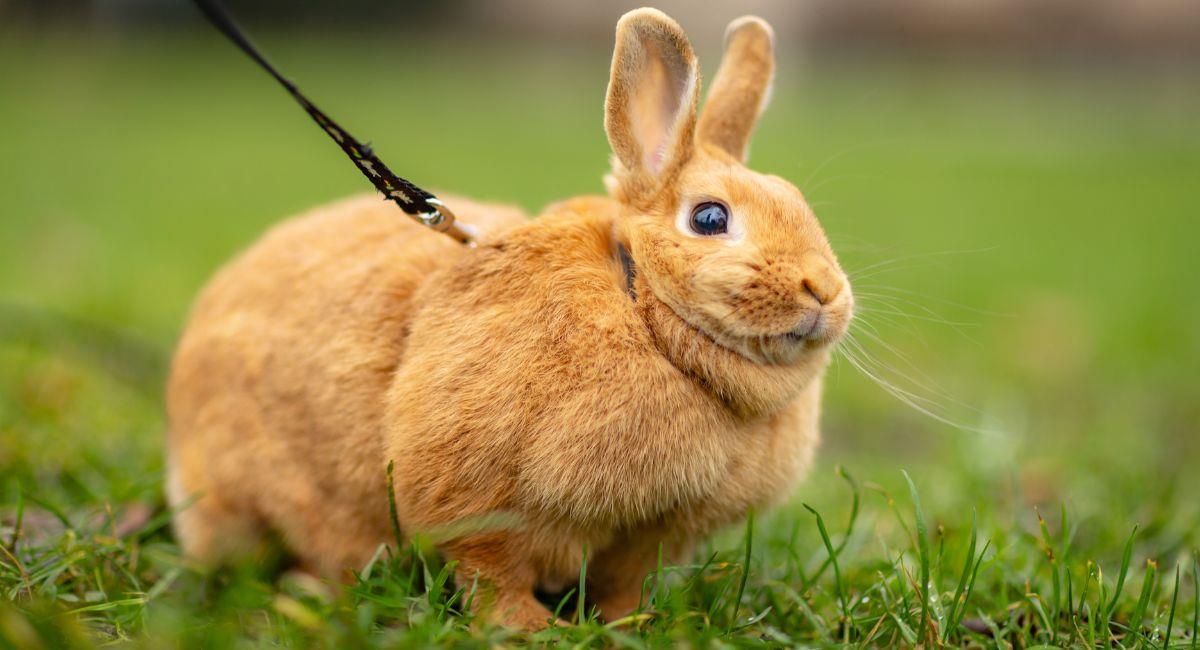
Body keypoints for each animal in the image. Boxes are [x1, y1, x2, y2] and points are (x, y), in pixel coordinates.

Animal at [166, 7, 853, 630]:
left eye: (798, 203)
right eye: (710, 219)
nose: (825, 291)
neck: (642, 310)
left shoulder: (650, 537)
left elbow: (624, 582)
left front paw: (631, 623)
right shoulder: (475, 502)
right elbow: (490, 569)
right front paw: (528, 629)